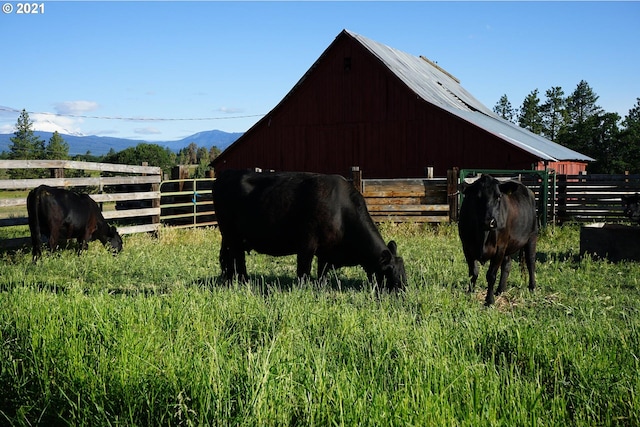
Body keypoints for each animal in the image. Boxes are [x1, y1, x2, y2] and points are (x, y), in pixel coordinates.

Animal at [212, 169, 408, 292]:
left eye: (404, 272)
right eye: (390, 272)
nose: (403, 293)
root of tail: (226, 174)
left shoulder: (326, 251)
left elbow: (322, 273)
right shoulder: (307, 244)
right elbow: (304, 271)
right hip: (232, 236)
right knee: (237, 259)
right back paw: (243, 281)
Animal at [458, 176, 536, 306]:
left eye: (498, 196)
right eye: (477, 197)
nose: (489, 222)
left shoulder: (499, 248)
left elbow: (491, 275)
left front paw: (489, 301)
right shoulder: (467, 247)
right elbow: (473, 272)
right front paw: (470, 293)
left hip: (531, 237)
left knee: (531, 262)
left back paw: (532, 287)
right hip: (509, 245)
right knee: (507, 264)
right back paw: (500, 290)